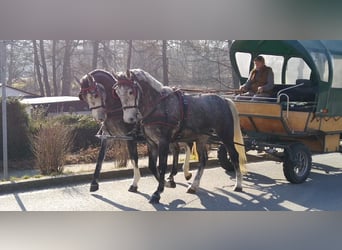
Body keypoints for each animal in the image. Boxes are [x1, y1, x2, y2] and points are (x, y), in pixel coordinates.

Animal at [114, 69, 246, 204]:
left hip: (226, 135)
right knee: (203, 160)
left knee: (234, 155)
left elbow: (162, 166)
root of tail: (224, 100)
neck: (158, 106)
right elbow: (152, 166)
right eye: (117, 92)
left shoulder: (163, 142)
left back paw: (238, 184)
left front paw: (158, 192)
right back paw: (194, 186)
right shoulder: (151, 143)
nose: (129, 119)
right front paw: (167, 183)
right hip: (201, 138)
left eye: (131, 91)